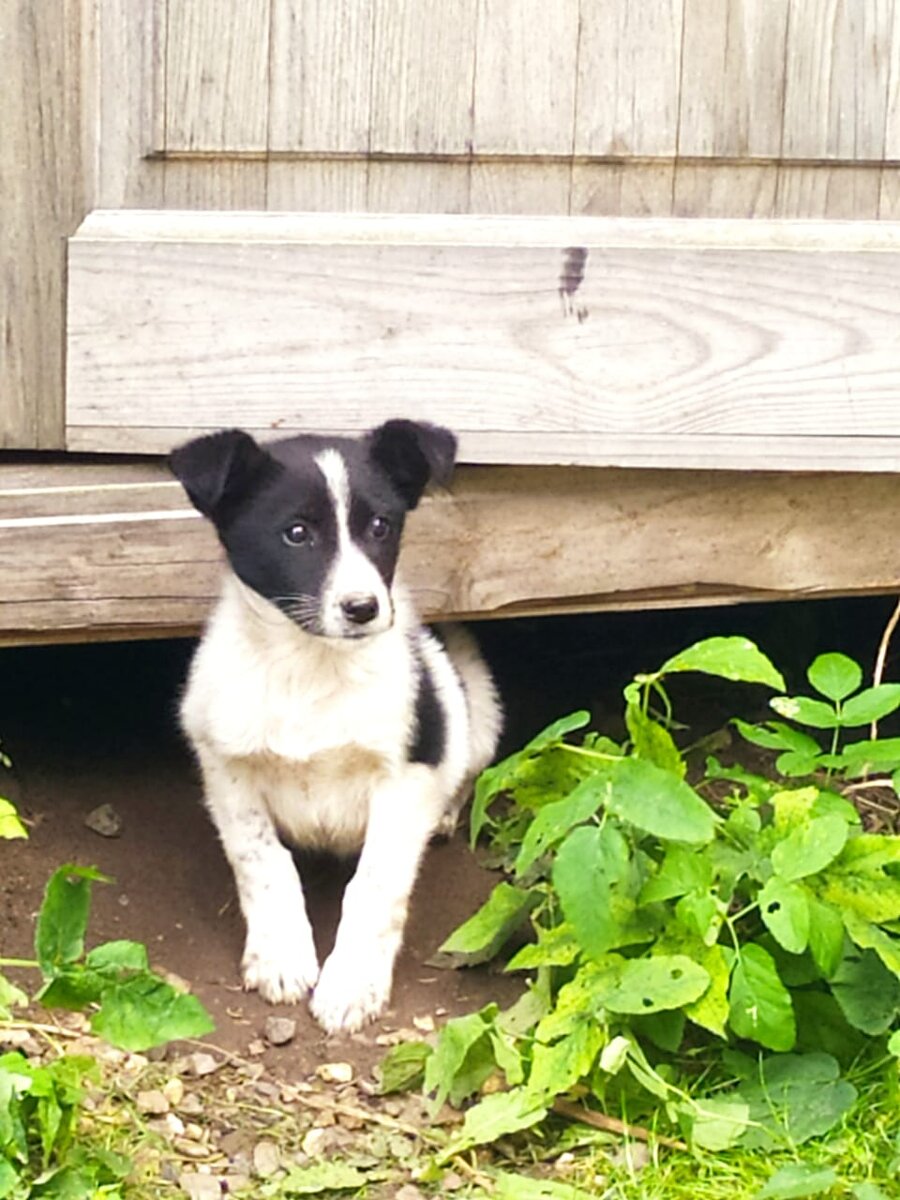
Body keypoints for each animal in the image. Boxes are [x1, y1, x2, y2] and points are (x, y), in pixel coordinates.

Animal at [169, 420, 504, 1032]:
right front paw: (280, 957)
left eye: (380, 526)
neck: (311, 668)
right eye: (297, 533)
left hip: (475, 710)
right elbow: (264, 862)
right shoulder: (228, 770)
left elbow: (373, 885)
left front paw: (351, 985)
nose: (363, 607)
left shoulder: (405, 777)